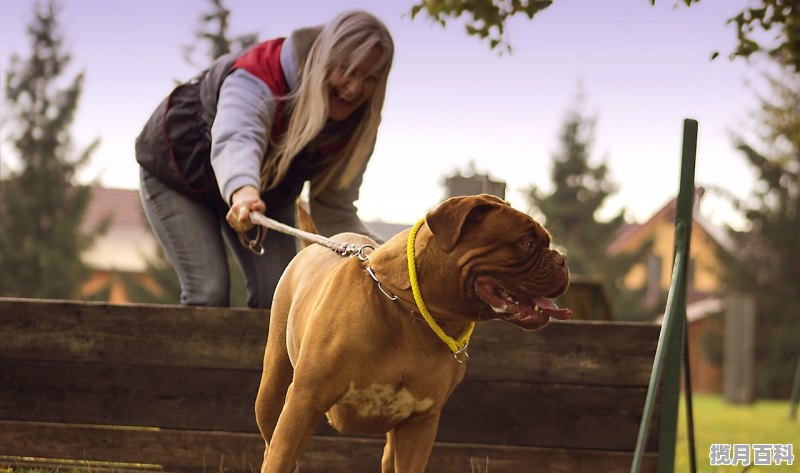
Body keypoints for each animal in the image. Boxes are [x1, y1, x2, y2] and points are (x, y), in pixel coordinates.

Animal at [253, 193, 572, 472]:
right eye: (527, 243)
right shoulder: (304, 403)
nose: (562, 259)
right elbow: (280, 458)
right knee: (273, 444)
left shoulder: (420, 423)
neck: (408, 311)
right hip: (273, 393)